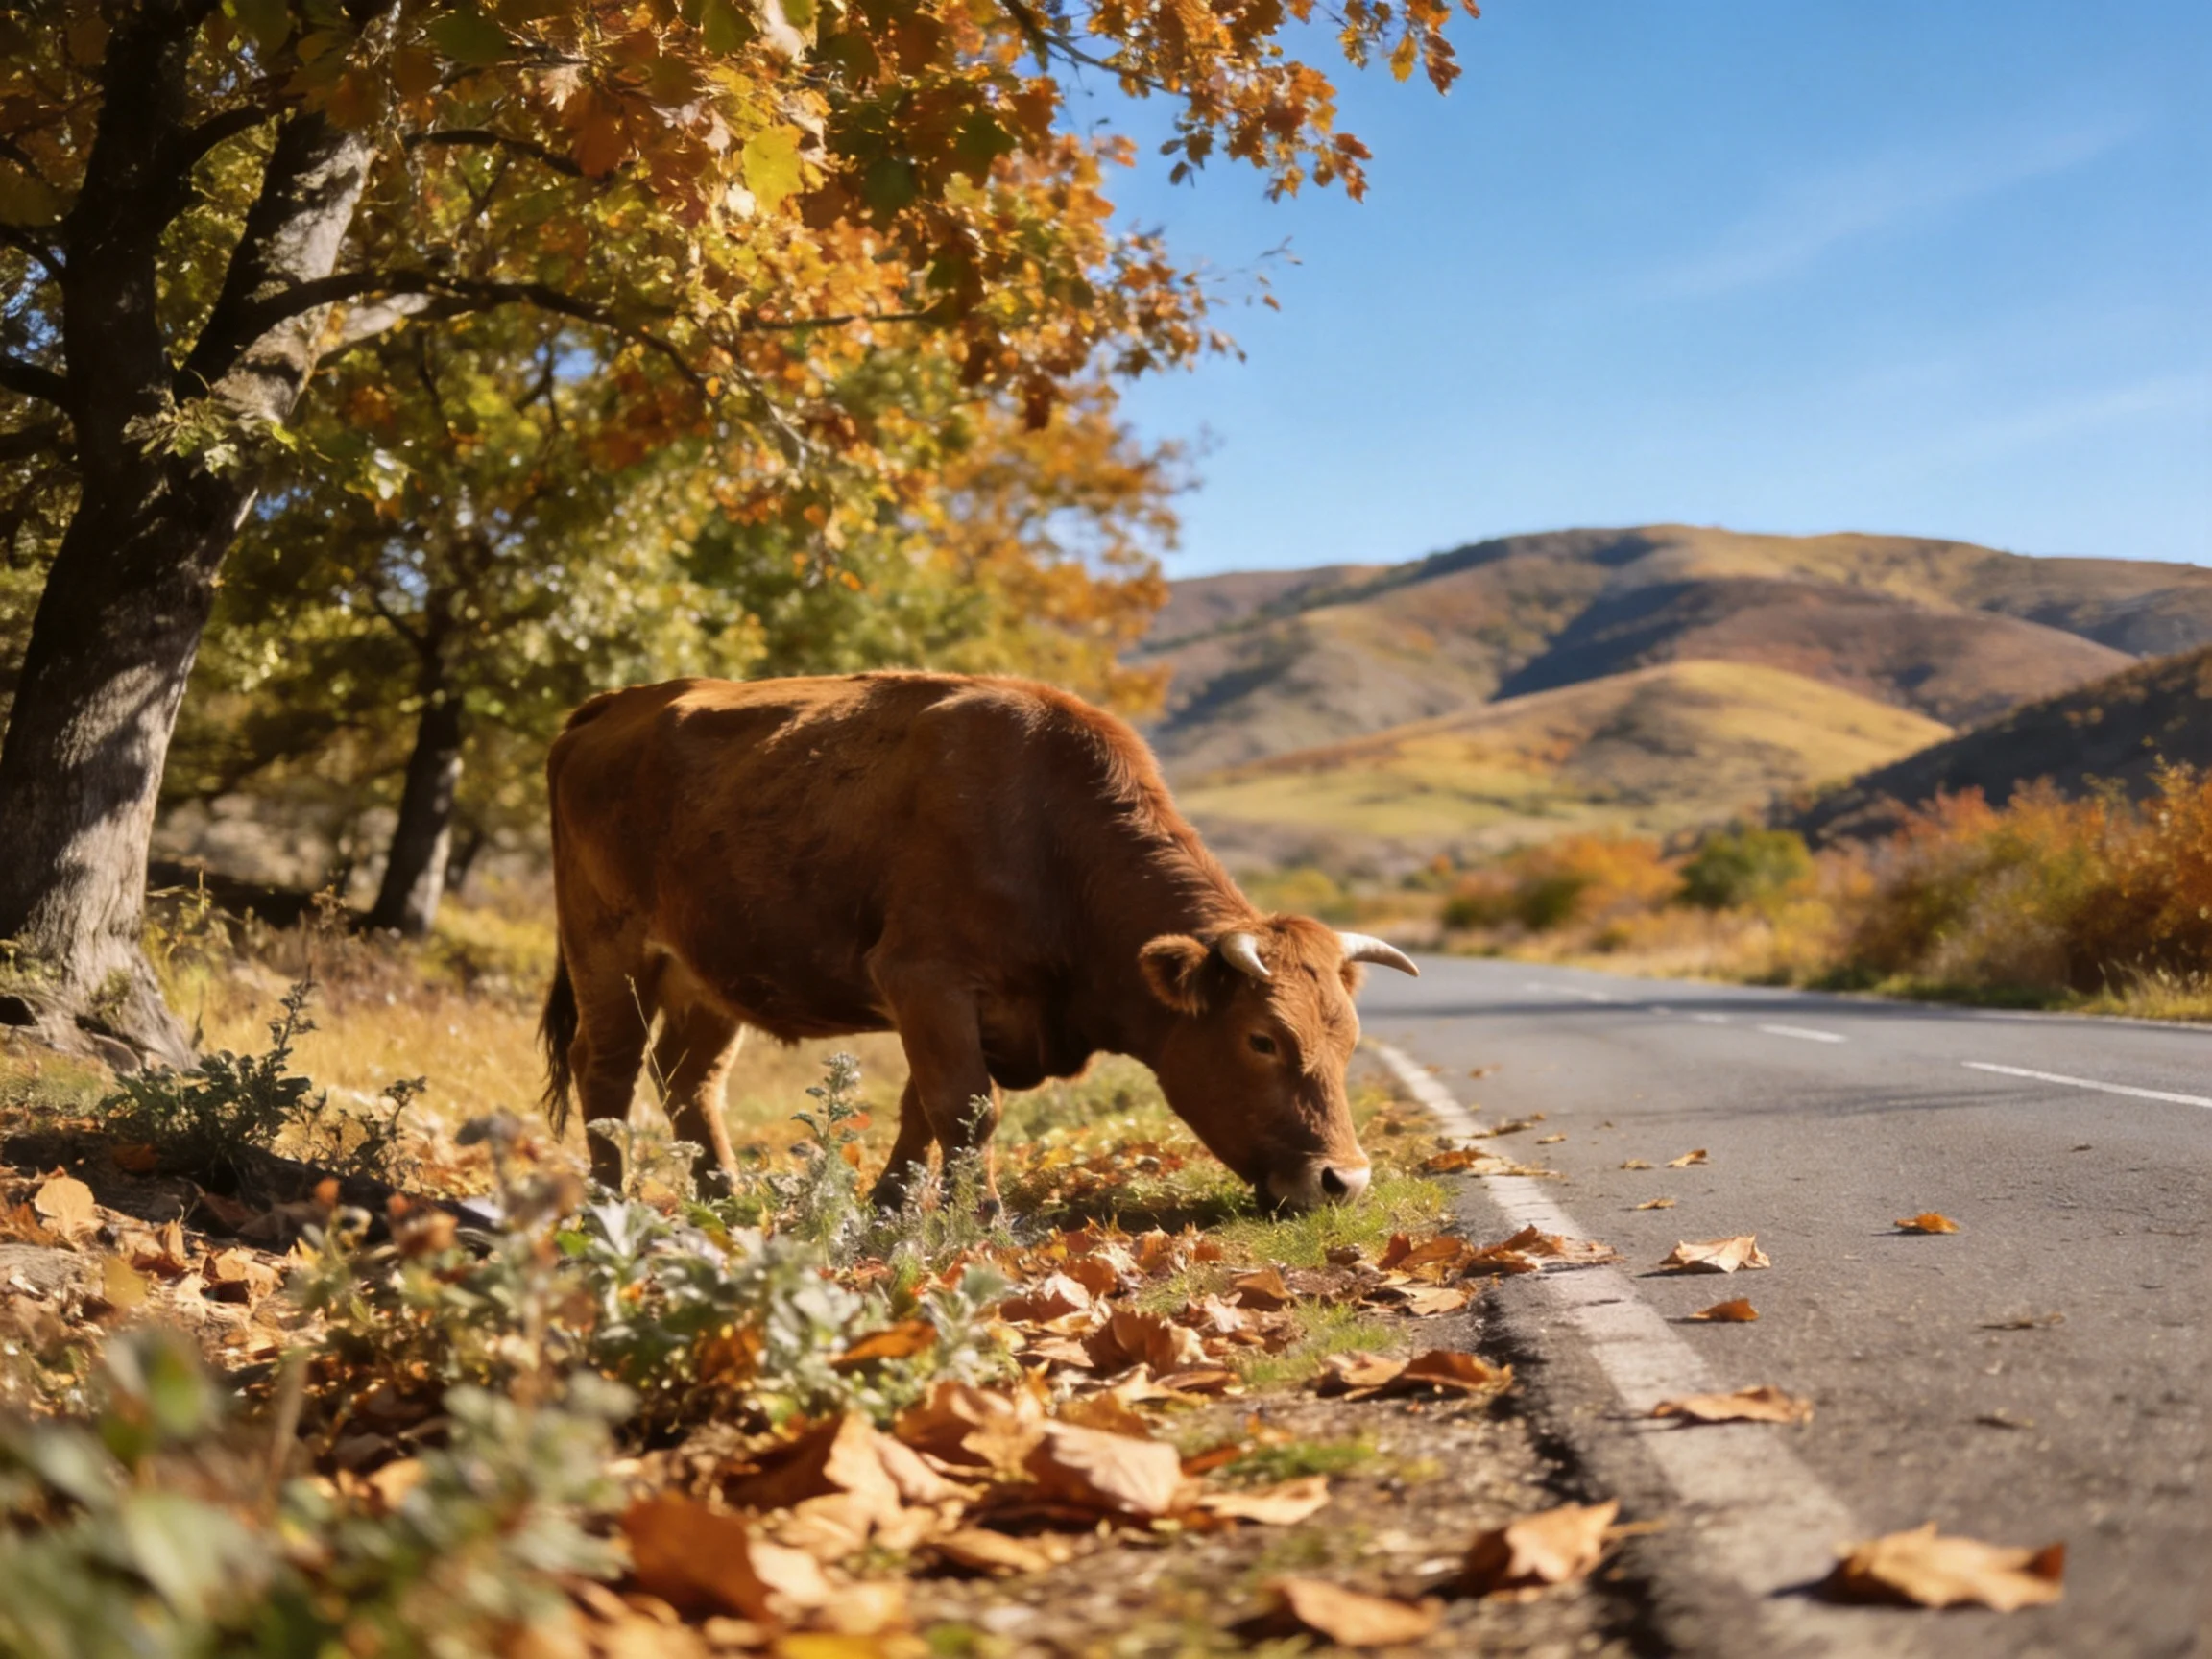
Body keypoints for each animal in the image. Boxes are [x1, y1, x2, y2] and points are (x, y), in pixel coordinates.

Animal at [539, 672, 1417, 1212]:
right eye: (1263, 1039)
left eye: (1349, 1041)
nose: (1344, 1181)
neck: (1046, 834)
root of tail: (615, 703)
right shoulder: (924, 978)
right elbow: (966, 1107)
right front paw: (985, 1217)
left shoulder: (957, 1008)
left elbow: (923, 1109)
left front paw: (889, 1207)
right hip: (609, 953)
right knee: (607, 1071)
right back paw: (609, 1204)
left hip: (707, 978)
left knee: (690, 1083)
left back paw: (724, 1199)